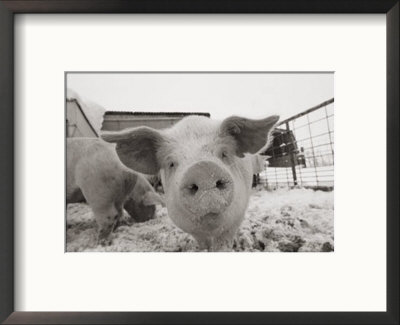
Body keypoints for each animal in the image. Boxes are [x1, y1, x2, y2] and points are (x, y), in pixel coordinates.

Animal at [101, 114, 280, 251]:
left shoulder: (237, 216)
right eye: (171, 163)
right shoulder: (189, 227)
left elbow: (224, 242)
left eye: (224, 153)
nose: (203, 168)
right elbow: (203, 243)